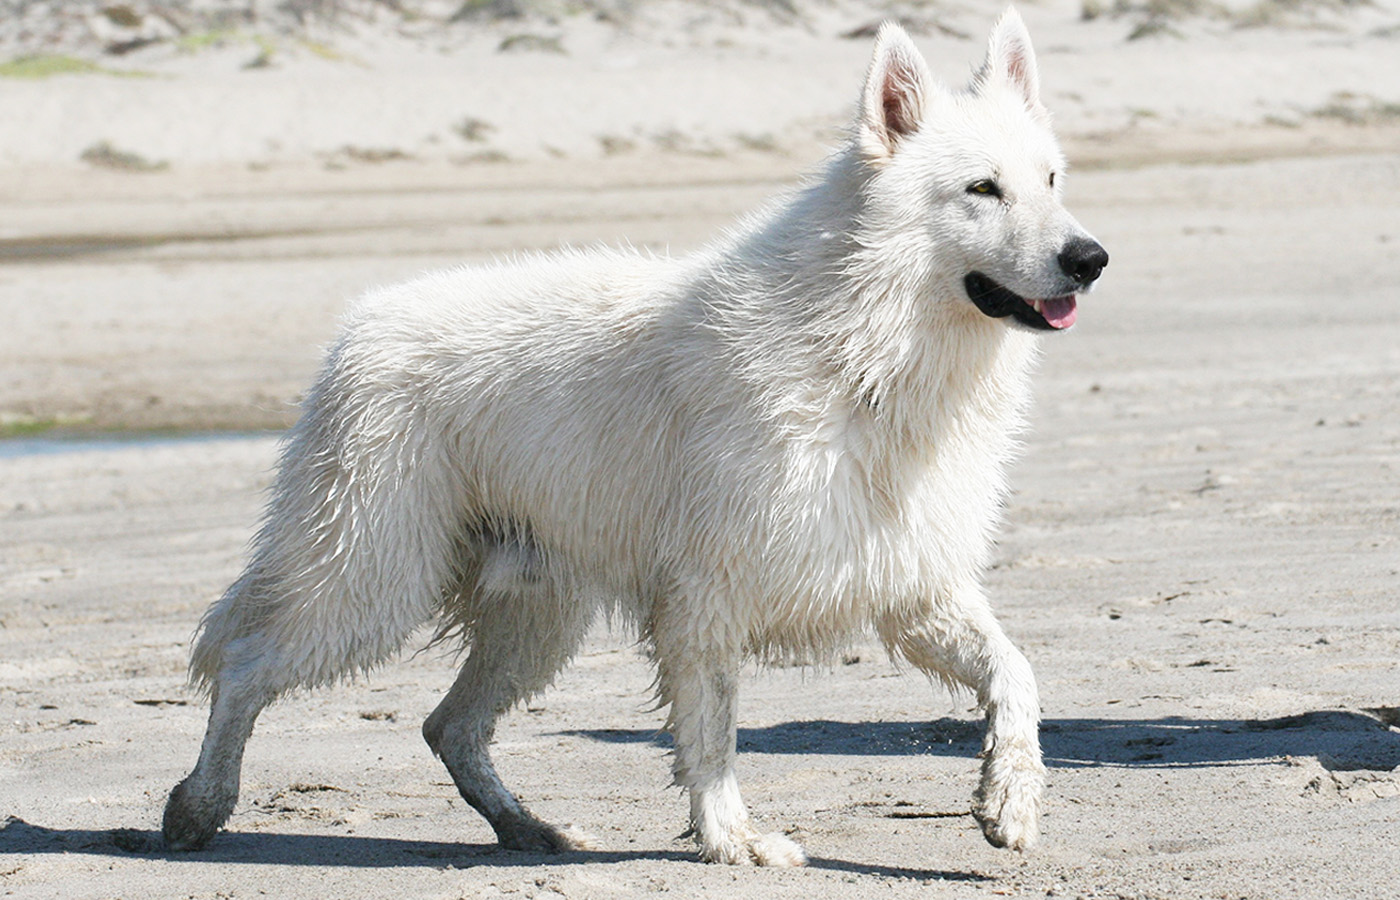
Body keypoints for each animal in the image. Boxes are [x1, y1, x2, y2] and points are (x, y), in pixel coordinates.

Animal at [163, 7, 1103, 867]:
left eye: (1053, 180)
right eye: (982, 190)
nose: (1089, 258)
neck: (863, 344)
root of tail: (356, 328)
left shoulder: (910, 580)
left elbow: (1016, 673)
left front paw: (1010, 799)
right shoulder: (705, 594)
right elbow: (713, 736)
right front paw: (731, 840)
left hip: (533, 614)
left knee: (447, 727)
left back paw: (528, 830)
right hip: (370, 581)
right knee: (245, 663)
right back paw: (199, 807)